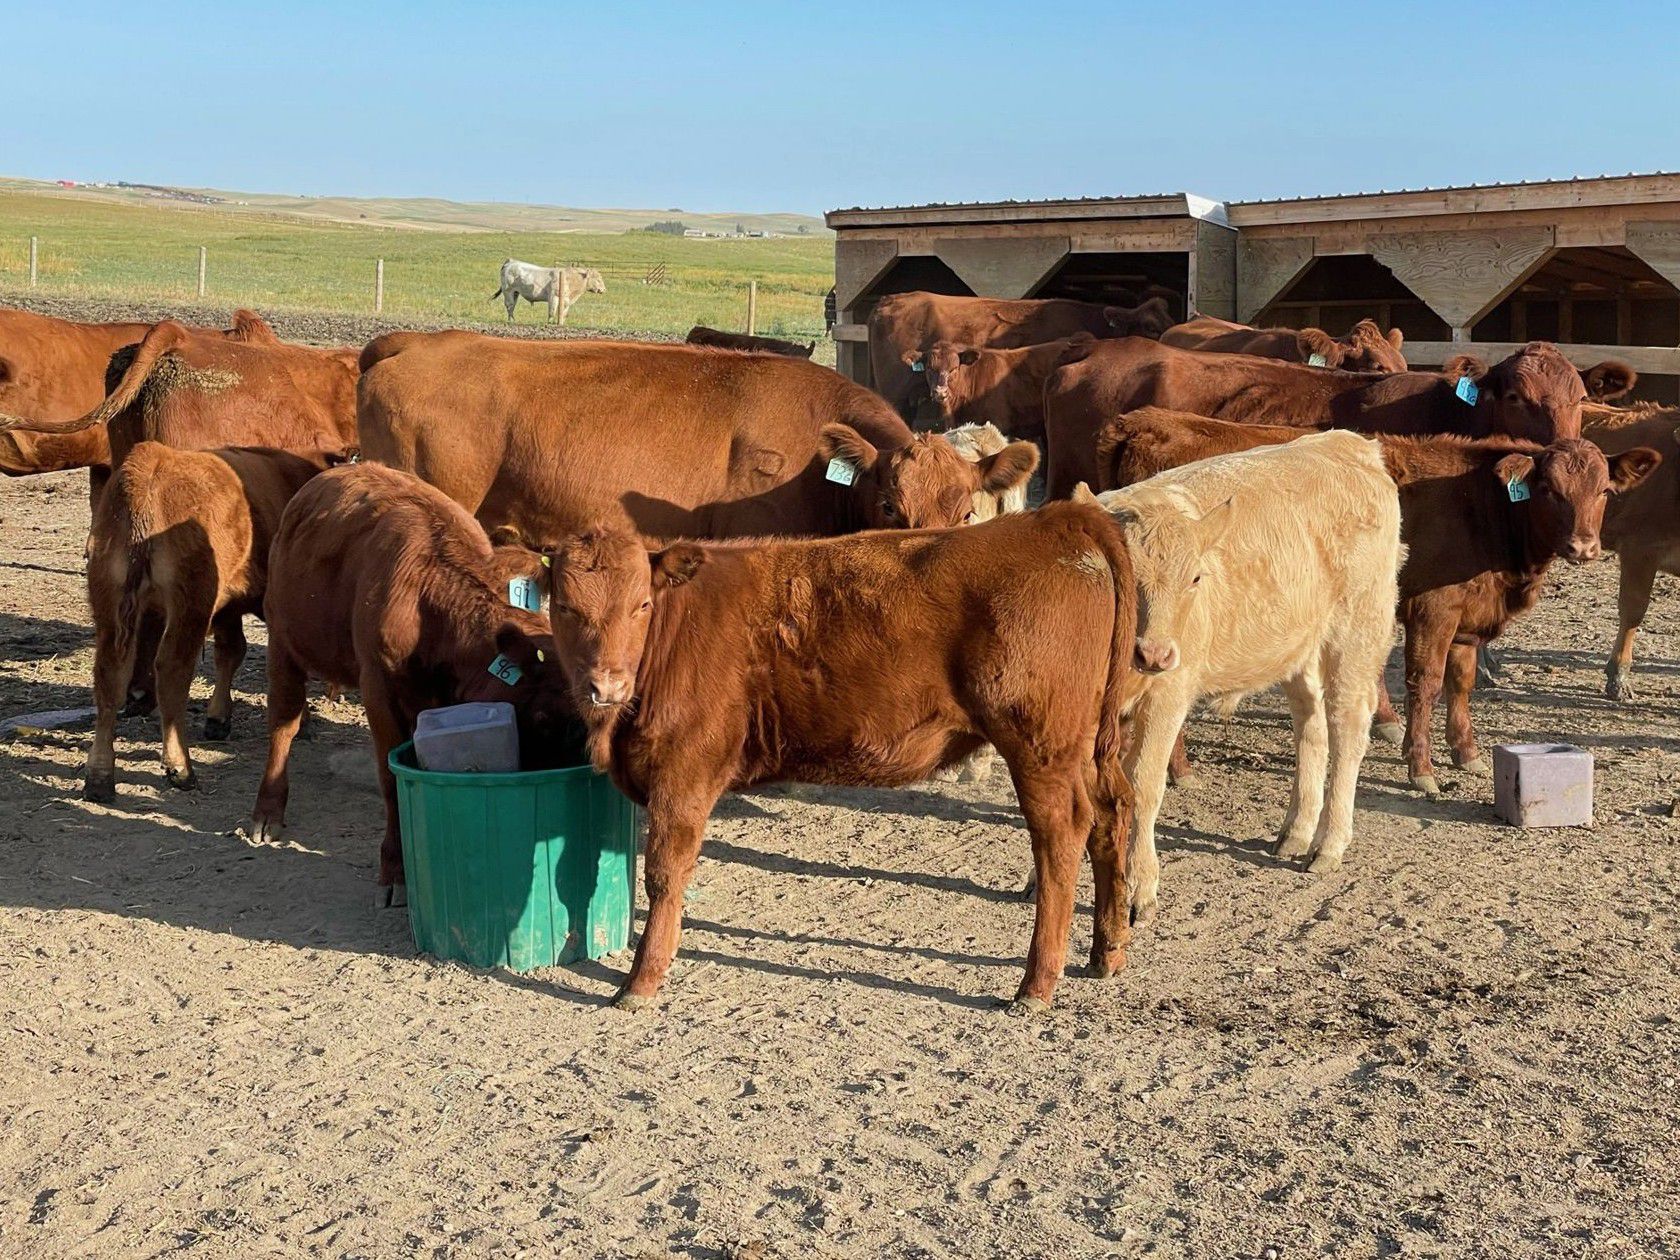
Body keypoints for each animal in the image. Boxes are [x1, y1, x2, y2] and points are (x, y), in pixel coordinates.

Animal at [82, 443, 342, 803]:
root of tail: (151, 463)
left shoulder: (228, 610)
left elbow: (230, 652)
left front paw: (218, 717)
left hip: (110, 602)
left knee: (110, 675)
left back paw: (99, 777)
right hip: (189, 606)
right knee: (172, 672)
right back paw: (181, 767)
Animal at [250, 463, 580, 905]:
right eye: (545, 716)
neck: (430, 601)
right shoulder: (379, 690)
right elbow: (391, 782)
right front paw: (396, 871)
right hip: (283, 642)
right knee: (283, 725)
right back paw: (267, 812)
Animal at [539, 502, 1138, 1012]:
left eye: (641, 604)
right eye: (563, 607)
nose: (606, 685)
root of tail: (1052, 518)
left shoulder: (682, 774)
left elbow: (663, 875)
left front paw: (640, 982)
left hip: (1039, 742)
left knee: (1060, 835)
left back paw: (1036, 984)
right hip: (1086, 747)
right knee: (1111, 813)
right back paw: (1106, 952)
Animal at [1083, 430, 1402, 922]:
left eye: (1195, 578)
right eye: (1122, 576)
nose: (1154, 654)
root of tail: (1351, 445)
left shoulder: (1167, 697)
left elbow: (1143, 786)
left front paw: (1139, 888)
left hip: (1355, 635)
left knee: (1347, 727)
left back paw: (1328, 845)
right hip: (1298, 648)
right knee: (1311, 726)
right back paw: (1296, 832)